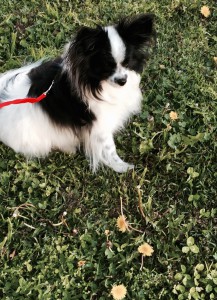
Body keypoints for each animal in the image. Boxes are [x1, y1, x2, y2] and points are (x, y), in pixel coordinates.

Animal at [0, 14, 155, 172]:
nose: (122, 80)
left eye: (127, 63)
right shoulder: (101, 126)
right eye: (107, 66)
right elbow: (110, 149)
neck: (97, 83)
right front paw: (122, 167)